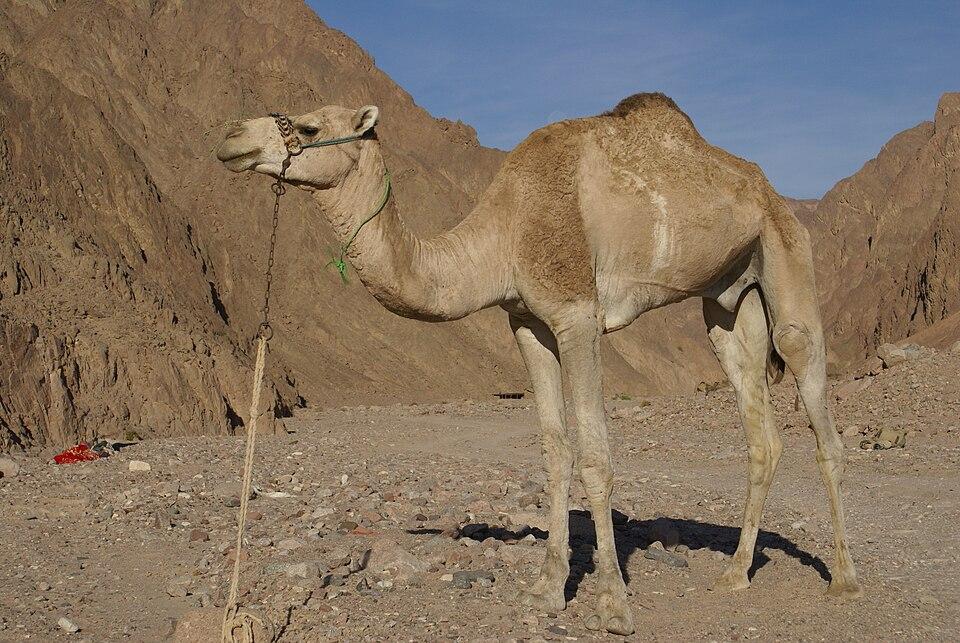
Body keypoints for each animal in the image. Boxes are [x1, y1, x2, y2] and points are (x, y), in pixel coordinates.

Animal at [216, 93, 861, 635]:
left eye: (308, 127)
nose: (231, 137)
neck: (502, 235)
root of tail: (772, 192)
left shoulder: (578, 315)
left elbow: (595, 453)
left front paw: (613, 605)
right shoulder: (527, 323)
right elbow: (555, 448)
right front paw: (547, 591)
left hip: (786, 255)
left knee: (816, 403)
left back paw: (846, 580)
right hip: (728, 300)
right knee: (760, 427)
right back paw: (734, 572)